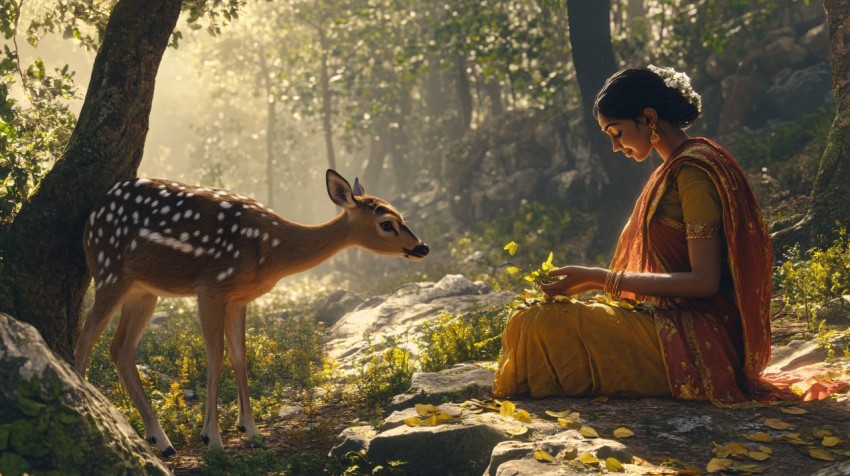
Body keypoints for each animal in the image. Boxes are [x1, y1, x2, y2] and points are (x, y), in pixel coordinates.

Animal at [75, 169, 428, 456]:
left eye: (401, 215)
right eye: (386, 223)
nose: (422, 247)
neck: (271, 248)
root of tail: (91, 217)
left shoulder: (239, 298)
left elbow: (239, 353)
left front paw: (251, 429)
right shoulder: (211, 286)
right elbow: (215, 353)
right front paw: (212, 438)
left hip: (144, 290)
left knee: (119, 348)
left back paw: (160, 440)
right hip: (110, 272)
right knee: (85, 340)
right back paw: (88, 409)